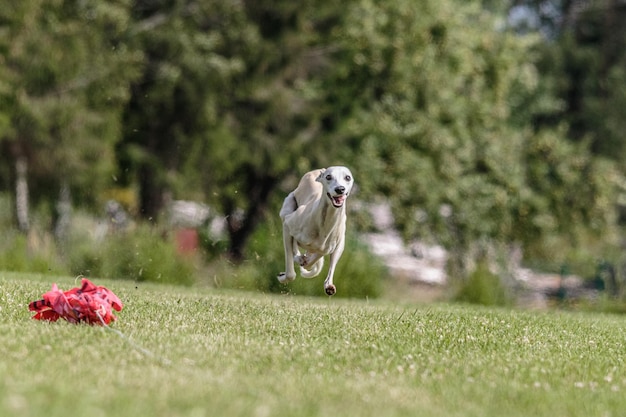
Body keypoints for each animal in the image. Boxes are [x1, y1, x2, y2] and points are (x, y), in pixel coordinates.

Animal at [276, 166, 354, 296]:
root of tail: (319, 170)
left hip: (340, 246)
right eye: (328, 176)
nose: (340, 189)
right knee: (294, 245)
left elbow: (316, 257)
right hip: (287, 208)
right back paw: (299, 258)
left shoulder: (328, 247)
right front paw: (283, 276)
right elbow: (291, 273)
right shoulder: (287, 225)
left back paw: (328, 284)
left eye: (347, 177)